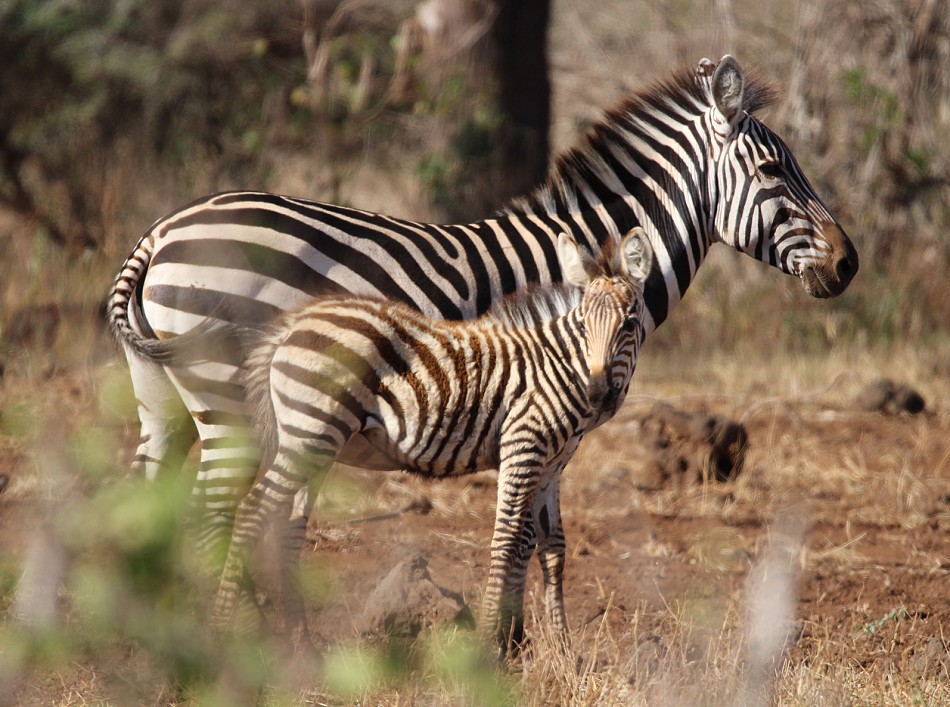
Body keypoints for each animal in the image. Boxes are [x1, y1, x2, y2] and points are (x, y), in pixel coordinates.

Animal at [108, 55, 860, 568]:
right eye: (772, 172)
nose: (849, 263)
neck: (599, 257)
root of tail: (160, 232)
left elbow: (550, 538)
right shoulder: (556, 411)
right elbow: (532, 536)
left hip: (165, 402)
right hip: (230, 405)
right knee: (206, 513)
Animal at [212, 228, 656, 652]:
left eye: (629, 323)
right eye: (583, 324)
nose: (598, 394)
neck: (558, 367)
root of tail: (292, 325)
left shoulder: (552, 466)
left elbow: (553, 548)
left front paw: (562, 649)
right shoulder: (522, 447)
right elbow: (507, 540)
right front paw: (490, 647)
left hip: (315, 442)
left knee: (288, 528)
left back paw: (300, 643)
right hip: (310, 433)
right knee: (251, 512)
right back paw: (223, 633)